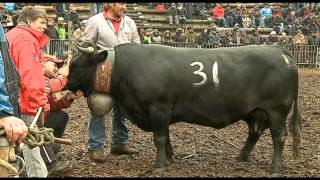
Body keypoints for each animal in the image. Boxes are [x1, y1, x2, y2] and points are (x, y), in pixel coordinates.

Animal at [66, 42, 302, 176]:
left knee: (279, 137)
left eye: (76, 65)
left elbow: (159, 137)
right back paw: (241, 157)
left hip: (276, 111)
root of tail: (278, 50)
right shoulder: (160, 114)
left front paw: (160, 164)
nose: (66, 84)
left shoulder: (158, 108)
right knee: (254, 132)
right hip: (255, 111)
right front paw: (169, 158)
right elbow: (166, 137)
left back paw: (274, 168)